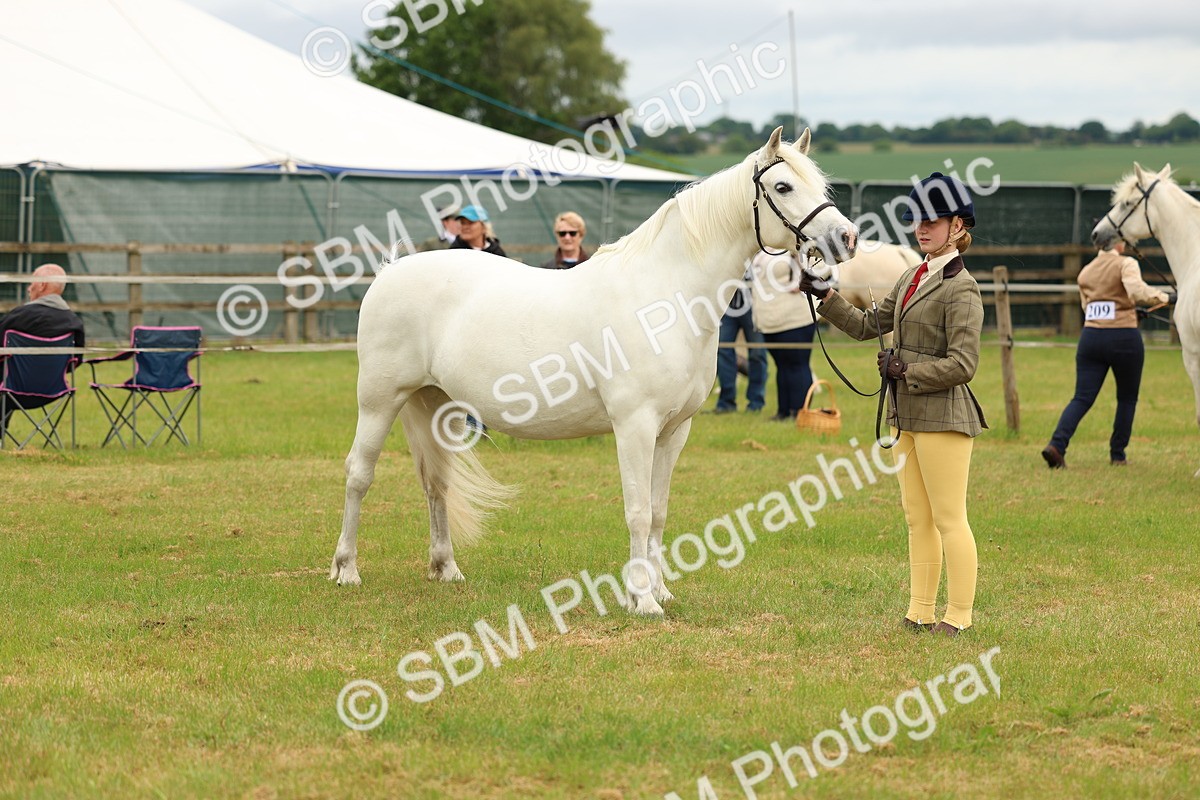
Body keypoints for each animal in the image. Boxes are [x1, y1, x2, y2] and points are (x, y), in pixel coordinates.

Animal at [329, 127, 859, 614]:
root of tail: (389, 272)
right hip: (379, 401)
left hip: (436, 403)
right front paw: (642, 600)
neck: (664, 296)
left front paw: (661, 591)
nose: (846, 238)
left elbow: (660, 512)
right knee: (359, 474)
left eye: (820, 184)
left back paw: (446, 568)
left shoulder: (675, 431)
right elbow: (638, 511)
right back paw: (346, 570)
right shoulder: (635, 425)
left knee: (435, 481)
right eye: (784, 187)